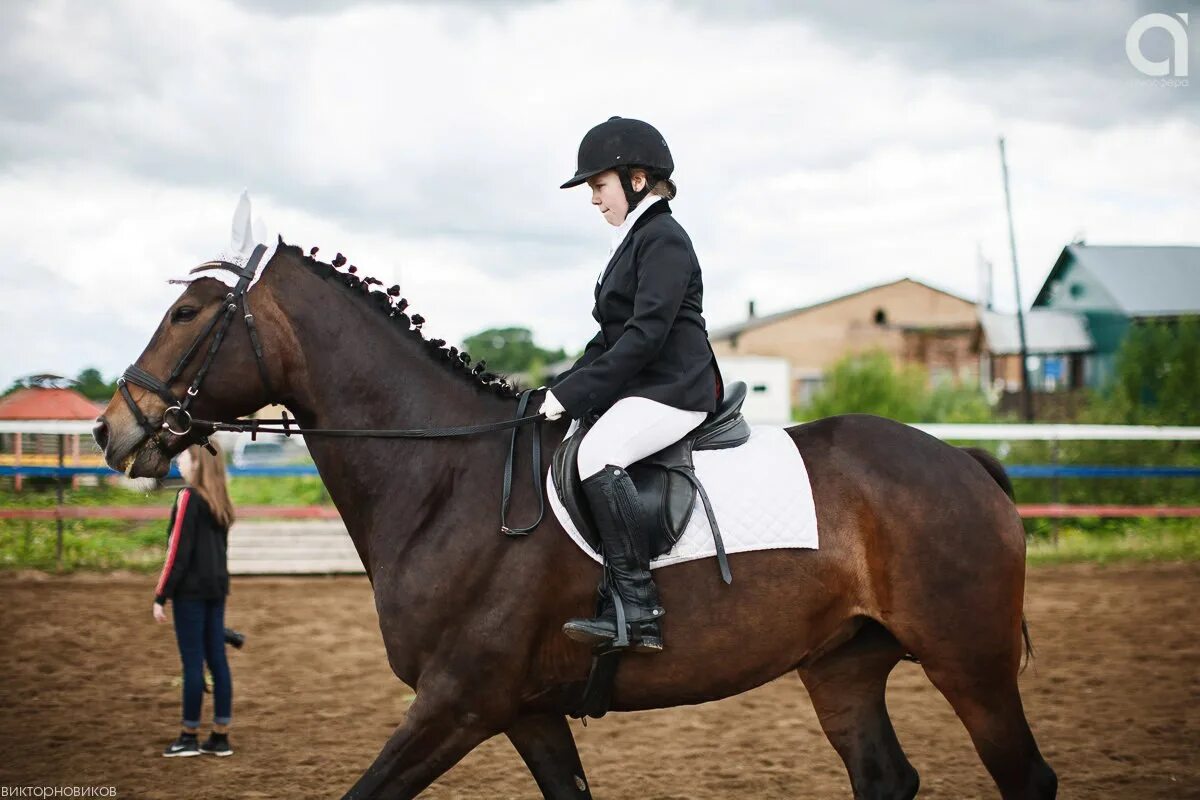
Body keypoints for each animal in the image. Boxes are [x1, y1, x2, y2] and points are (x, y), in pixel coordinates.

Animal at [93, 241, 1056, 796]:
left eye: (186, 313)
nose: (114, 429)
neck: (445, 480)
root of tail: (961, 460)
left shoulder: (456, 703)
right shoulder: (523, 710)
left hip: (968, 663)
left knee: (1026, 778)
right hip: (843, 668)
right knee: (886, 779)